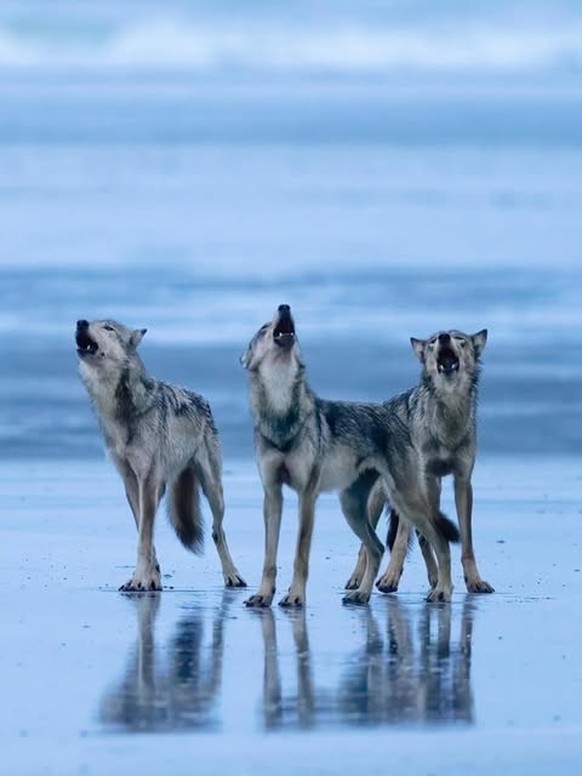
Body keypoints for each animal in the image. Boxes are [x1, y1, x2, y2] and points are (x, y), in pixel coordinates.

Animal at [75, 318, 246, 592]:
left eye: (109, 328)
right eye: (90, 321)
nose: (80, 322)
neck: (121, 410)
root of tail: (202, 397)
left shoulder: (147, 480)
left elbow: (144, 538)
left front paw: (140, 579)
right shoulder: (132, 482)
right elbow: (144, 534)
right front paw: (148, 579)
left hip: (213, 490)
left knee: (217, 531)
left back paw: (233, 575)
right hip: (165, 488)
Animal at [240, 304, 459, 608]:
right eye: (263, 328)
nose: (284, 306)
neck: (281, 413)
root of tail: (393, 414)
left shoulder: (307, 496)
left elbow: (300, 554)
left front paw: (295, 596)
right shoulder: (272, 496)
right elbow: (269, 558)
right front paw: (263, 595)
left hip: (405, 501)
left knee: (440, 540)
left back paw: (443, 591)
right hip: (352, 508)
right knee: (376, 548)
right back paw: (362, 594)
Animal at [345, 329, 493, 596]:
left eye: (459, 339)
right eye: (433, 342)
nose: (444, 336)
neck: (447, 422)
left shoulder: (462, 482)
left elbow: (464, 541)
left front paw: (474, 581)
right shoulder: (418, 480)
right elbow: (401, 540)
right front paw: (390, 578)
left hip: (430, 490)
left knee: (426, 536)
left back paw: (435, 578)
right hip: (380, 499)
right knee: (367, 545)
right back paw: (357, 580)